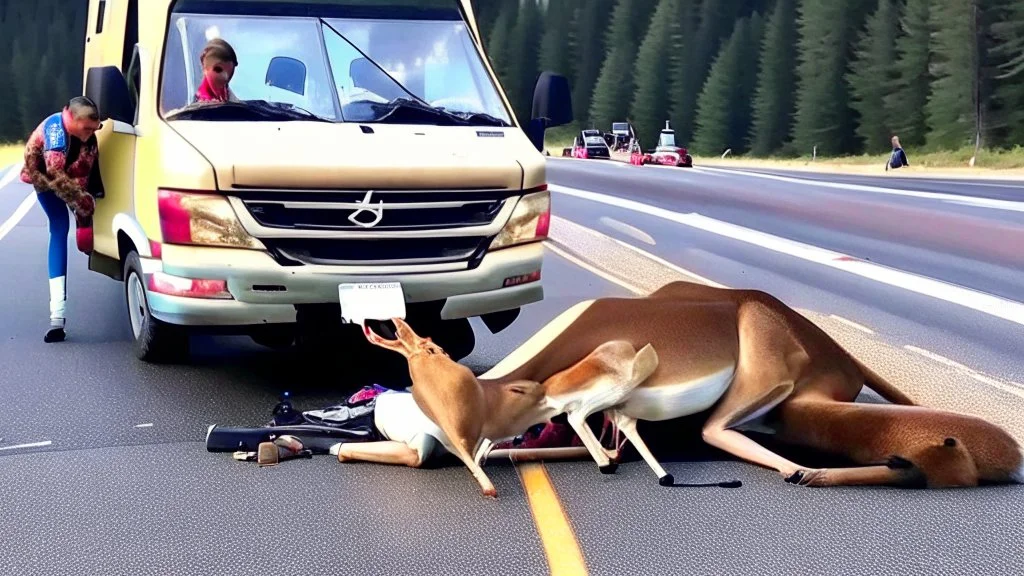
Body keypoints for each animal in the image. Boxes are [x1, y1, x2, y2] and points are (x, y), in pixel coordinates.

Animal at [364, 280, 1019, 496]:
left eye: (431, 349)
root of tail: (837, 354)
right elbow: (603, 436)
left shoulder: (608, 391)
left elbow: (590, 424)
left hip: (768, 361)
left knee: (723, 430)